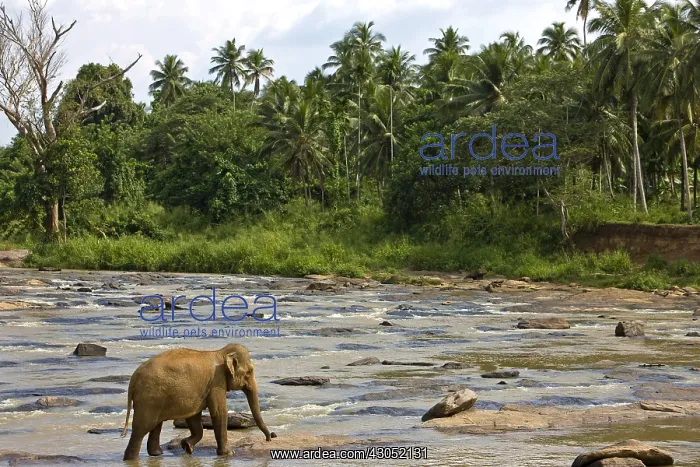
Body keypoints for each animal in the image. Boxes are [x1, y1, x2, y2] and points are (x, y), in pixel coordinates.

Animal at [121, 343, 276, 460]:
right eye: (249, 372)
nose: (270, 437)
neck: (221, 353)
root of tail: (134, 378)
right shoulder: (216, 382)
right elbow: (219, 412)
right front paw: (229, 454)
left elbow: (194, 417)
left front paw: (186, 446)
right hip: (149, 398)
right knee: (142, 427)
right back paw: (131, 459)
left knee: (155, 425)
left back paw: (157, 454)